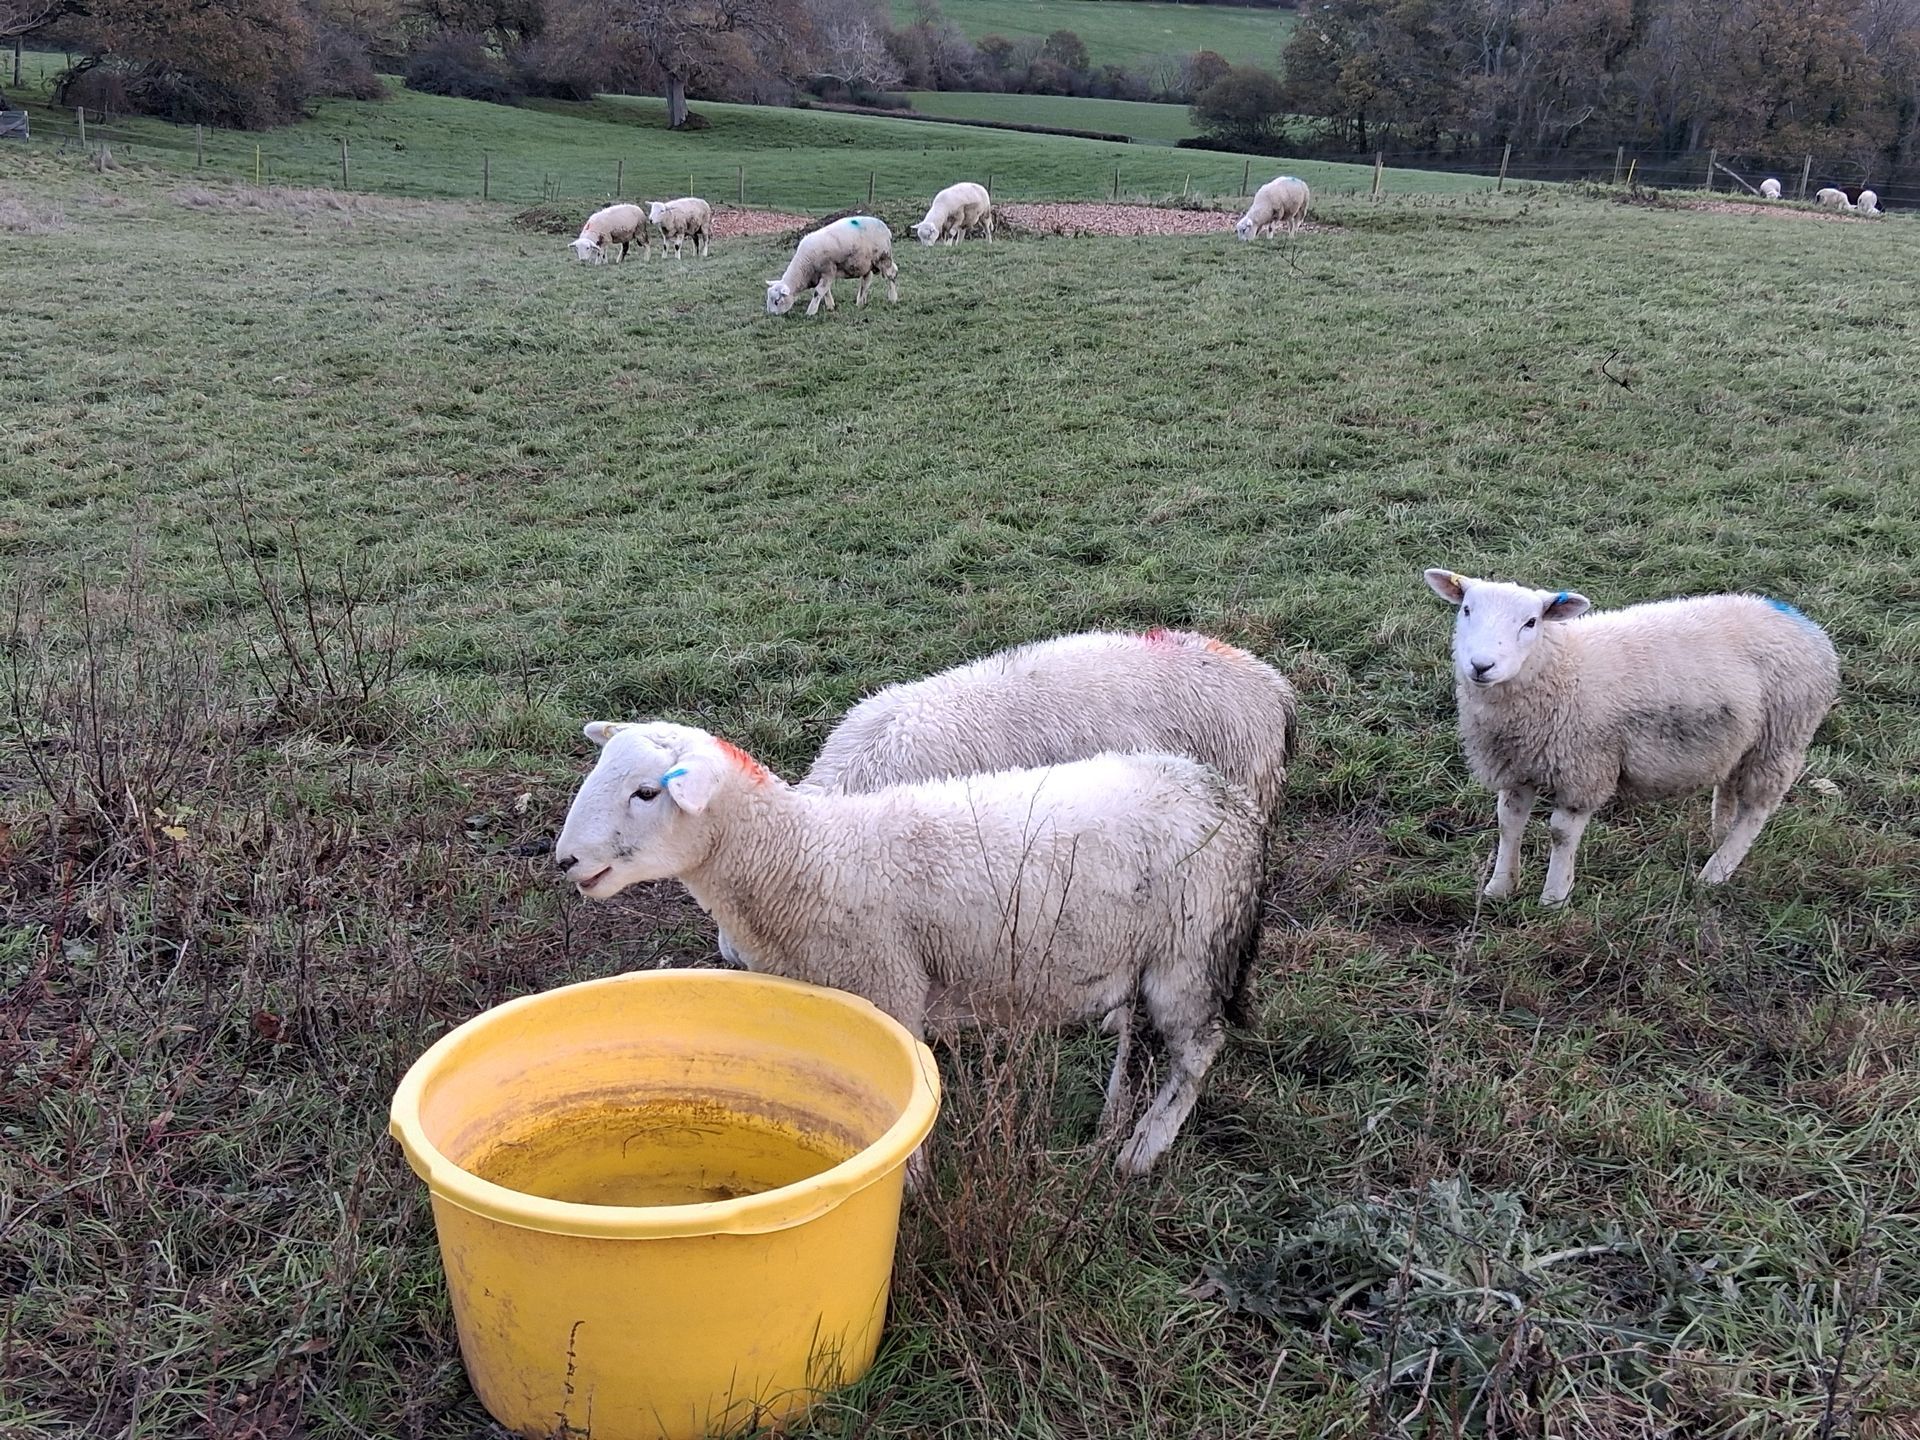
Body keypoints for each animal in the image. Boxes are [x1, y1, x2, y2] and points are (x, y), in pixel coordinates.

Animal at [554, 721, 1266, 1176]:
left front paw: (909, 1180)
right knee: (1139, 1038)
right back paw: (1113, 1122)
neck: (803, 856)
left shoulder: (890, 985)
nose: (565, 861)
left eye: (647, 792)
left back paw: (1141, 1151)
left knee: (1198, 1049)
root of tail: (1226, 797)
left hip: (1191, 950)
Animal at [765, 216, 898, 317]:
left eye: (776, 301)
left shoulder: (828, 270)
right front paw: (830, 306)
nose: (771, 314)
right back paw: (860, 302)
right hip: (866, 263)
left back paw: (892, 298)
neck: (804, 269)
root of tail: (886, 228)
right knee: (866, 281)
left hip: (884, 257)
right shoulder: (821, 275)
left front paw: (810, 312)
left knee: (891, 274)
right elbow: (825, 291)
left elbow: (818, 292)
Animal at [1424, 569, 1838, 906]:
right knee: (1729, 788)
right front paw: (1499, 888)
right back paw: (1718, 836)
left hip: (1782, 736)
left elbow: (1560, 833)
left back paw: (1716, 871)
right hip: (1739, 738)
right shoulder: (1517, 764)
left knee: (1756, 809)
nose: (1481, 666)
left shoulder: (1585, 768)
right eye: (1466, 610)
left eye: (1530, 622)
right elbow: (1508, 822)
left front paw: (1554, 897)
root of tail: (1804, 624)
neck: (1563, 667)